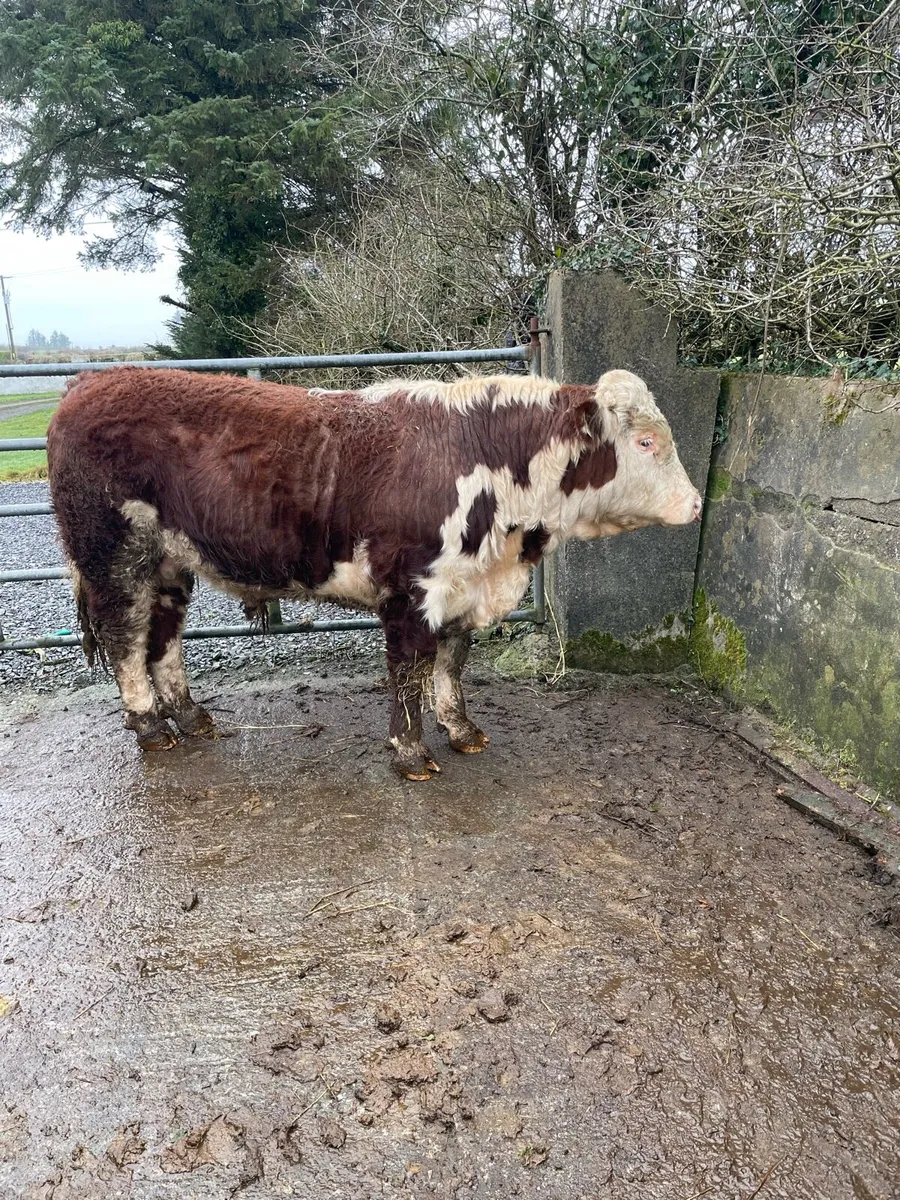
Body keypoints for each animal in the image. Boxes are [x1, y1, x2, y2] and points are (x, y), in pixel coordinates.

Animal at [46, 366, 702, 779]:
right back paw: (149, 726)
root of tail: (91, 382)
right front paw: (410, 753)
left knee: (163, 639)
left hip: (170, 562)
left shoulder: (462, 587)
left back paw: (190, 717)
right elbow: (409, 672)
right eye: (646, 442)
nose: (696, 504)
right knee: (126, 640)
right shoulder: (410, 590)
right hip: (114, 557)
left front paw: (461, 729)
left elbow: (451, 663)